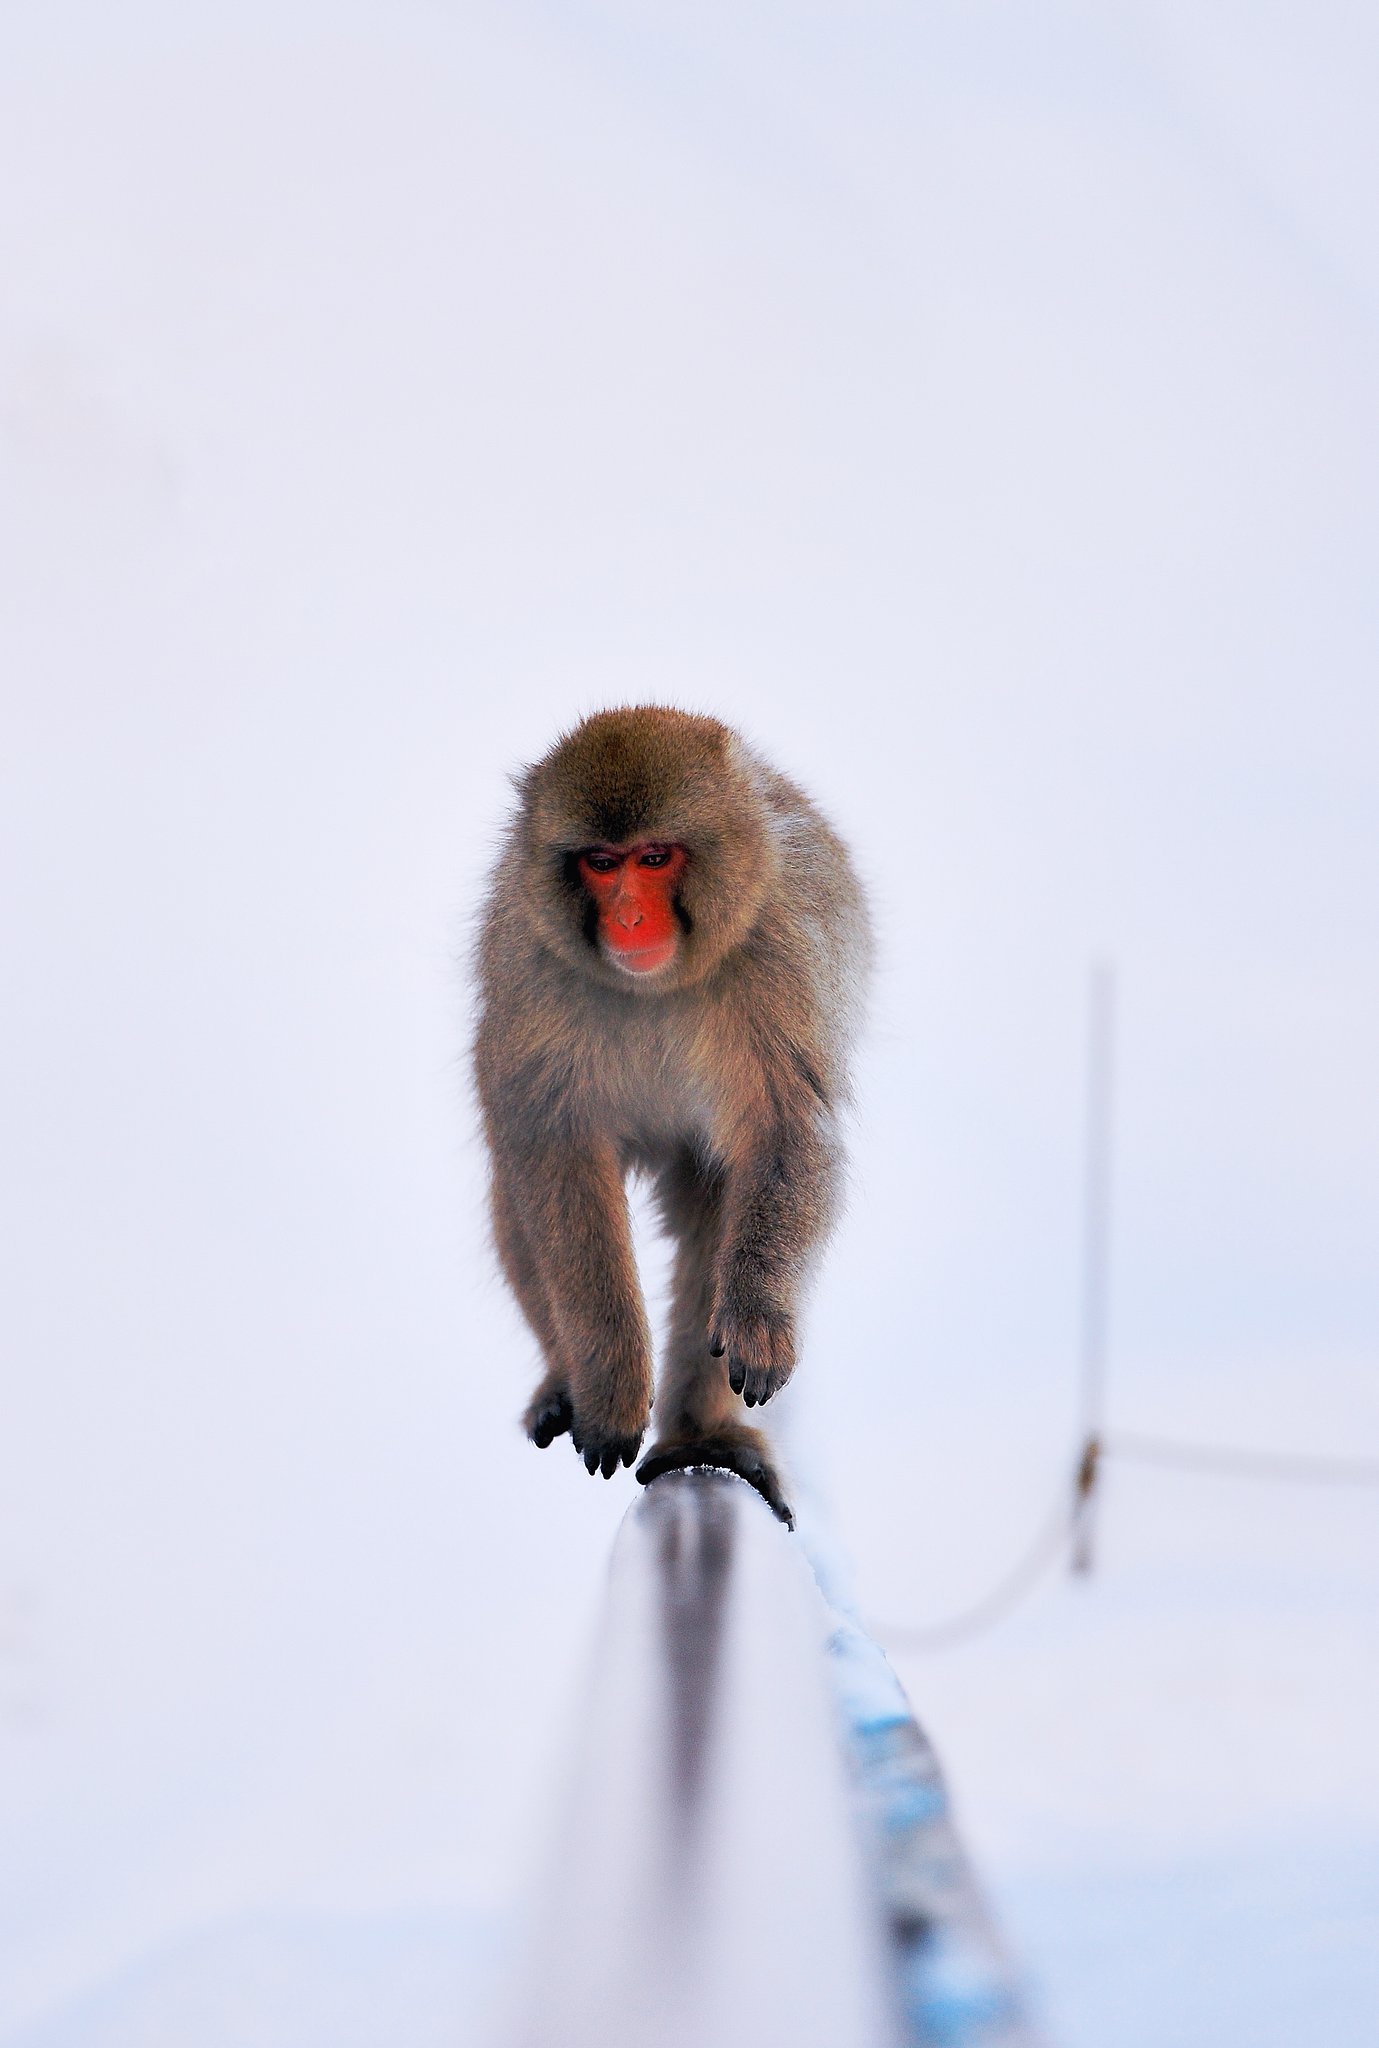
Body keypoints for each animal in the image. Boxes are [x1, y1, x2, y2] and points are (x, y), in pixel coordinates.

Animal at [473, 706, 870, 1528]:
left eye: (654, 859)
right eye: (601, 862)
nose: (627, 915)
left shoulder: (781, 950)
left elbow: (787, 1133)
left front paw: (756, 1319)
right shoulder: (529, 962)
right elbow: (553, 1154)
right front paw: (611, 1384)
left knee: (722, 1203)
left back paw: (701, 1433)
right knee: (514, 1178)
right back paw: (565, 1382)